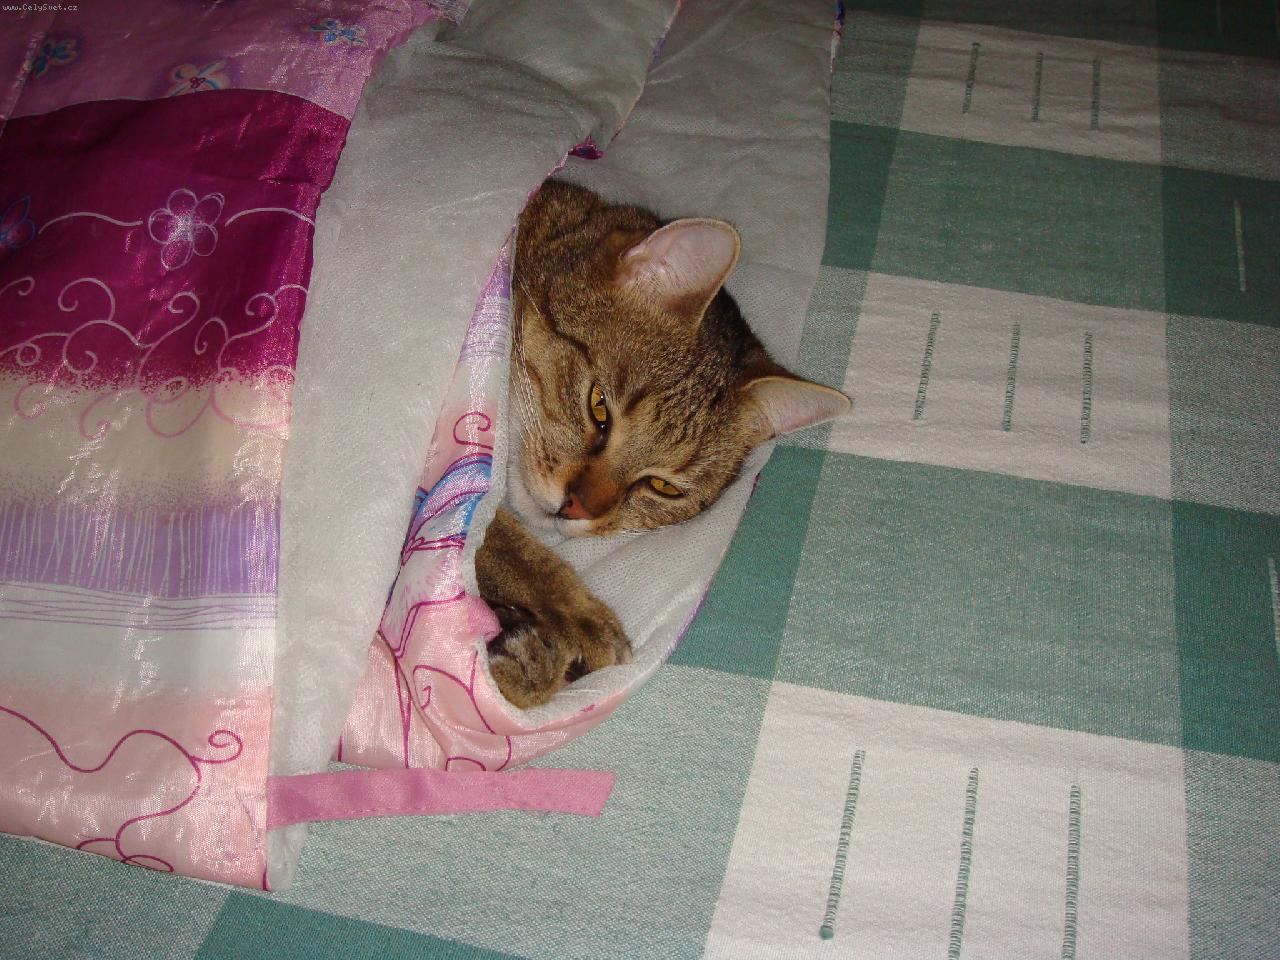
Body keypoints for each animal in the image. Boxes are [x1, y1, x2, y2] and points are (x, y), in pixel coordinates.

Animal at [476, 179, 849, 708]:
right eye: (599, 407)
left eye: (662, 487)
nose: (577, 508)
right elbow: (498, 537)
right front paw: (576, 614)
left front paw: (529, 658)